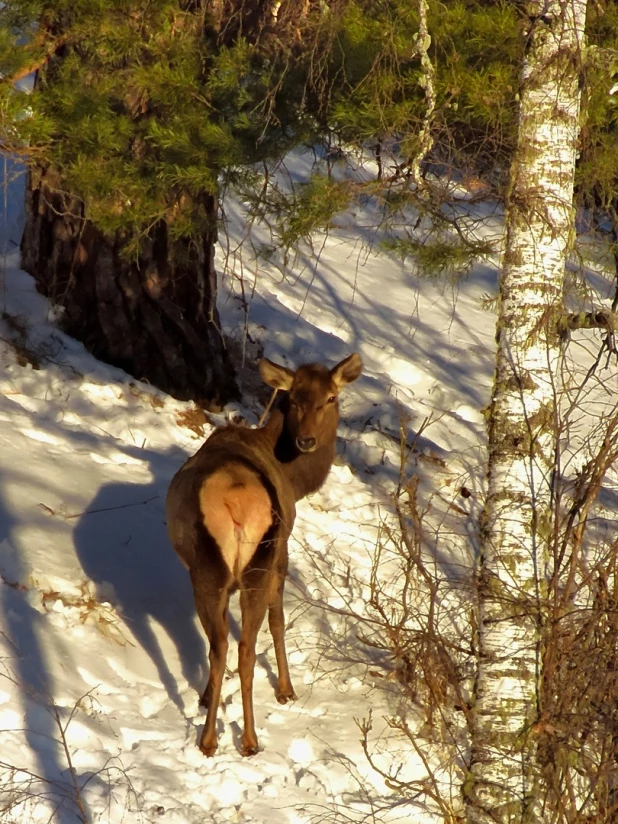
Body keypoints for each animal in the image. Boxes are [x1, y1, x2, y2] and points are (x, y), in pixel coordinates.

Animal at [166, 350, 364, 756]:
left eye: (330, 398)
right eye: (296, 399)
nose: (307, 439)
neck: (296, 480)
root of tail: (235, 501)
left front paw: (206, 697)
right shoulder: (284, 545)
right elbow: (279, 619)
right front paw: (286, 690)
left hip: (211, 570)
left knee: (220, 645)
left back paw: (212, 738)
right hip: (255, 560)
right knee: (242, 646)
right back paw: (245, 740)